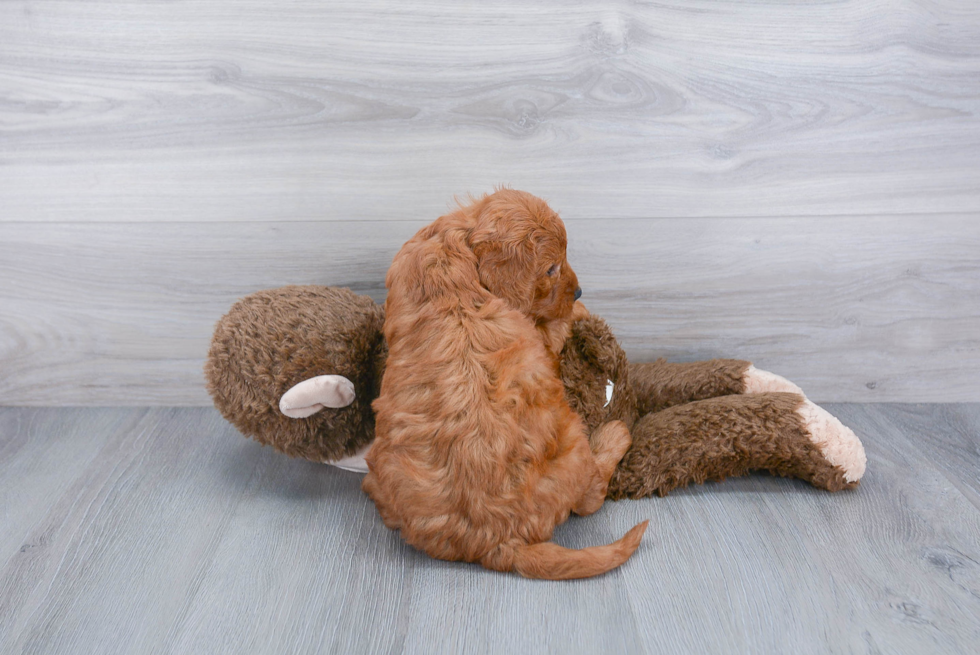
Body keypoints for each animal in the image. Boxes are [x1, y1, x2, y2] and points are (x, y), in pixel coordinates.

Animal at [364, 190, 648, 580]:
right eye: (551, 268)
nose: (578, 291)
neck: (456, 254)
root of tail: (498, 542)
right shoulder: (539, 336)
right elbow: (554, 326)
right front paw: (578, 311)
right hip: (573, 443)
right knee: (591, 495)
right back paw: (615, 434)